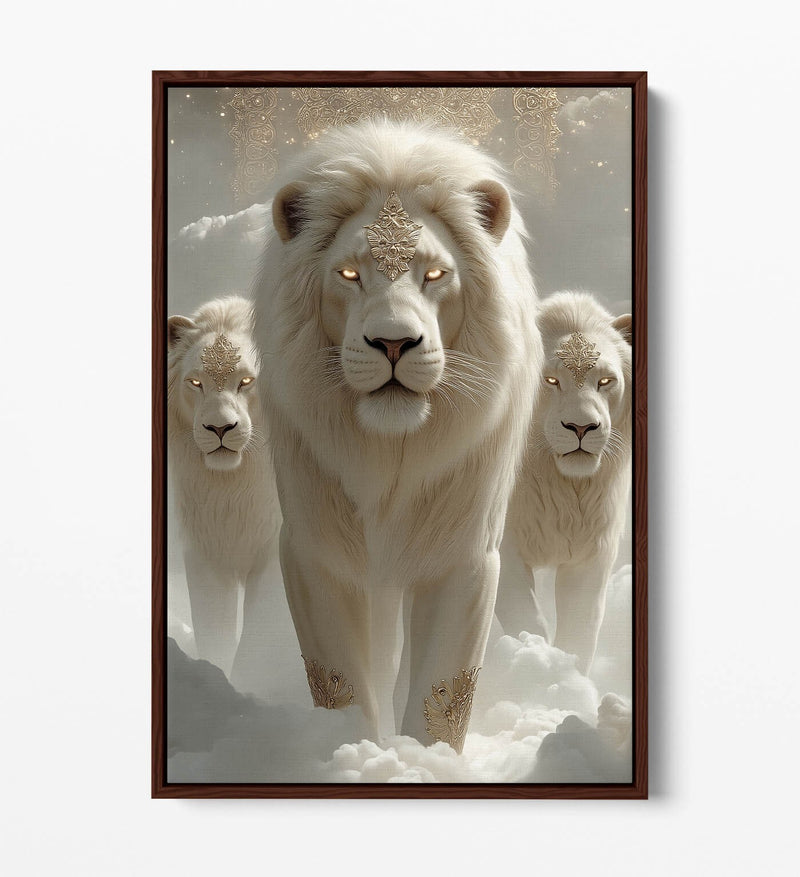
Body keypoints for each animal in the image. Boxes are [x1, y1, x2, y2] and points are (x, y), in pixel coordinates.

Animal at [167, 295, 281, 684]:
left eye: (246, 380)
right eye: (195, 382)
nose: (219, 428)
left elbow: (258, 636)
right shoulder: (207, 551)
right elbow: (214, 631)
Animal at [253, 120, 542, 751]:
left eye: (434, 274)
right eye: (349, 274)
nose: (392, 342)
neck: (389, 455)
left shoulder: (464, 554)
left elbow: (443, 689)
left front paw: (424, 760)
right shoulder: (313, 549)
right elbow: (339, 680)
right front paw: (349, 751)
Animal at [495, 292, 633, 675]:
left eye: (605, 381)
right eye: (551, 380)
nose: (582, 427)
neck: (563, 487)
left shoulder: (592, 553)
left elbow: (580, 630)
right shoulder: (502, 546)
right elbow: (524, 615)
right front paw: (535, 659)